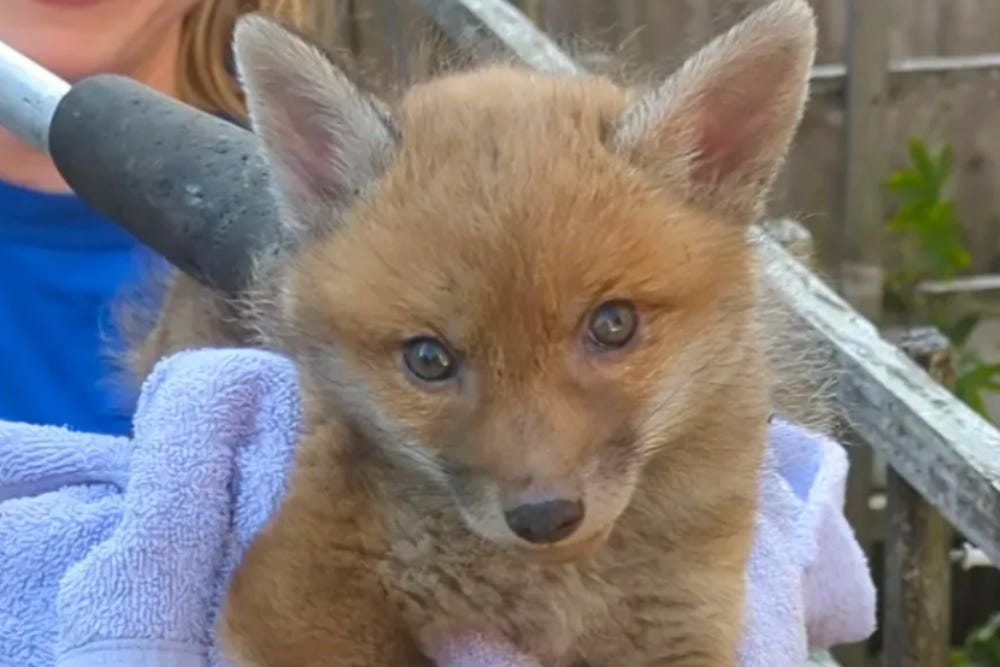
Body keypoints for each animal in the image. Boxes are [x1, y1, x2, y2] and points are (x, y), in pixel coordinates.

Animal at [123, 0, 829, 664]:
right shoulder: (297, 582)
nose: (545, 517)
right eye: (429, 359)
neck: (555, 590)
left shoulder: (685, 623)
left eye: (613, 324)